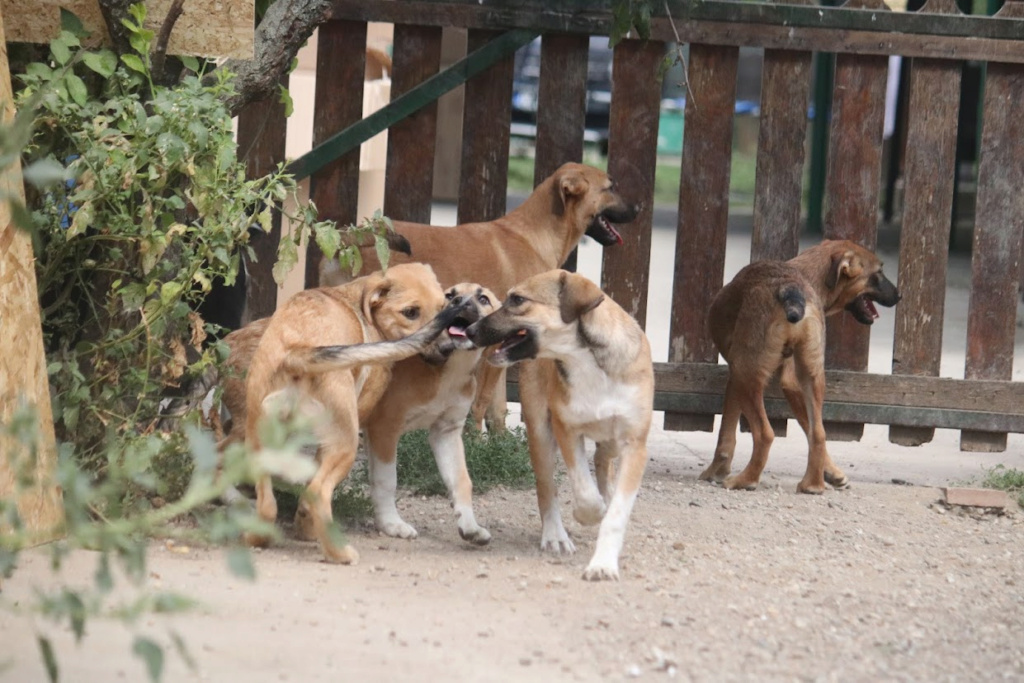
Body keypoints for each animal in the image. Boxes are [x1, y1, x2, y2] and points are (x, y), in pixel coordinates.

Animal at [241, 264, 466, 565]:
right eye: (410, 312)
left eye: (442, 306)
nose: (447, 349)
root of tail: (298, 353)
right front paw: (307, 529)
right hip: (345, 443)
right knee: (317, 491)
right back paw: (339, 553)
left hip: (258, 441)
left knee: (267, 505)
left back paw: (258, 539)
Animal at [364, 282, 499, 544]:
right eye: (450, 294)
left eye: (483, 299)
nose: (459, 302)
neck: (450, 369)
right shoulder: (384, 428)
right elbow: (387, 480)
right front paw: (391, 524)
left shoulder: (446, 432)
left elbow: (461, 480)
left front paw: (470, 525)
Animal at [466, 270, 651, 581]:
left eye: (518, 300)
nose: (470, 330)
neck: (589, 364)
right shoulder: (566, 429)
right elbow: (585, 492)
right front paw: (588, 514)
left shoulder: (635, 444)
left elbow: (617, 513)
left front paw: (603, 563)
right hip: (540, 431)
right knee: (546, 488)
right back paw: (555, 535)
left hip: (613, 441)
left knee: (603, 461)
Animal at [700, 239, 901, 491]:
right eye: (878, 274)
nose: (900, 295)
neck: (808, 275)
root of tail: (791, 288)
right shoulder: (790, 382)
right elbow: (810, 429)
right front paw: (832, 472)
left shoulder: (736, 378)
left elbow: (726, 434)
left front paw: (715, 472)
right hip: (810, 376)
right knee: (818, 433)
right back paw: (812, 485)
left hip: (746, 372)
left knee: (765, 434)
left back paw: (746, 480)